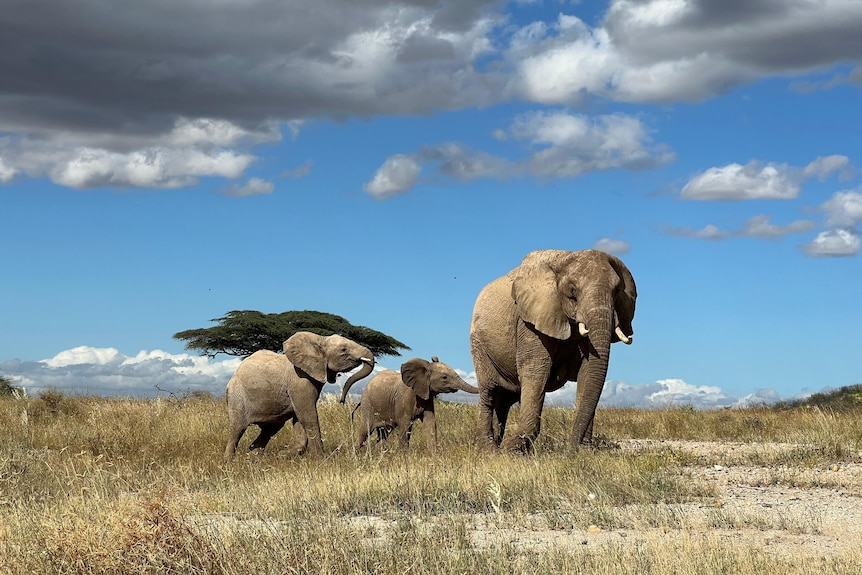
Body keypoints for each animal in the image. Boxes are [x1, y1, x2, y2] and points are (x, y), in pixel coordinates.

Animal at [223, 330, 374, 462]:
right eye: (343, 349)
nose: (341, 401)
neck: (320, 339)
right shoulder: (300, 380)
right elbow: (308, 415)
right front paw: (321, 458)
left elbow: (299, 418)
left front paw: (284, 455)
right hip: (237, 395)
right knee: (237, 428)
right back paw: (229, 463)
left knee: (270, 429)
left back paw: (254, 459)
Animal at [352, 356, 480, 454]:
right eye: (444, 377)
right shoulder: (404, 398)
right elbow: (405, 425)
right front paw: (403, 456)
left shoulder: (427, 396)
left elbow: (430, 423)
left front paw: (434, 455)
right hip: (368, 405)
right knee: (365, 430)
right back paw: (357, 455)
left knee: (384, 433)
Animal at [470, 251, 636, 454]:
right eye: (572, 291)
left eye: (617, 292)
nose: (571, 450)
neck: (565, 258)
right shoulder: (529, 322)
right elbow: (535, 371)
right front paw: (512, 451)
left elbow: (588, 374)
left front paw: (585, 452)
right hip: (478, 343)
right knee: (489, 391)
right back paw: (489, 450)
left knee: (505, 399)